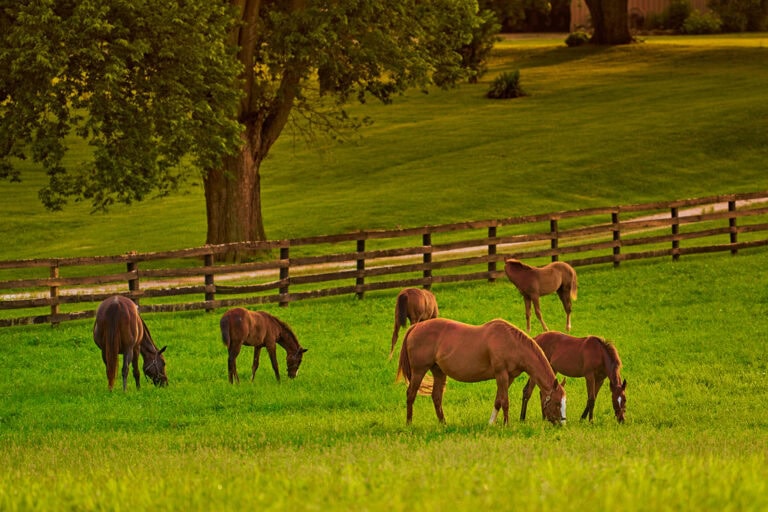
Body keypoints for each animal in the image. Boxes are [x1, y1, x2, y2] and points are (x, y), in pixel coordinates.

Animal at [396, 317, 566, 426]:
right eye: (557, 402)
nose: (561, 424)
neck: (512, 343)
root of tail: (416, 327)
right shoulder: (501, 375)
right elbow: (505, 401)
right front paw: (506, 424)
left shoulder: (508, 378)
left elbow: (498, 400)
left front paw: (491, 423)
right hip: (419, 371)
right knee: (411, 395)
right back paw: (409, 423)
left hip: (438, 371)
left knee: (436, 397)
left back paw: (443, 423)